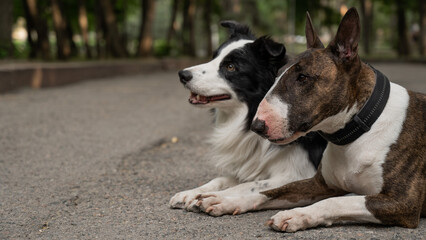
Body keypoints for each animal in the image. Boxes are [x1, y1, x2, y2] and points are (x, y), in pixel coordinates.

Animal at [170, 22, 326, 216]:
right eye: (214, 57)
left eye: (231, 67)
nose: (182, 75)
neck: (251, 113)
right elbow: (222, 179)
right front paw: (190, 193)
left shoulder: (301, 173)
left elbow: (249, 186)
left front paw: (211, 198)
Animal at [250, 7, 426, 232]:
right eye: (277, 75)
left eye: (303, 77)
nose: (256, 125)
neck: (357, 133)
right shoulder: (320, 184)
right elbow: (267, 191)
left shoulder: (402, 202)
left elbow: (336, 201)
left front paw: (296, 215)